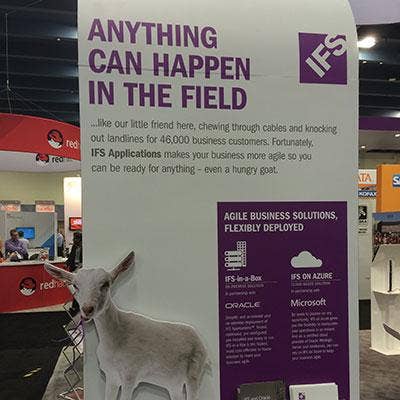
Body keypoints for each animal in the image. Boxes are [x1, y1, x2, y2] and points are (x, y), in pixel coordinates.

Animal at [44, 251, 209, 400]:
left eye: (106, 284)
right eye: (75, 285)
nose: (87, 309)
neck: (114, 338)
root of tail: (202, 344)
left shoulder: (130, 376)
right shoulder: (111, 376)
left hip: (193, 376)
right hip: (173, 383)